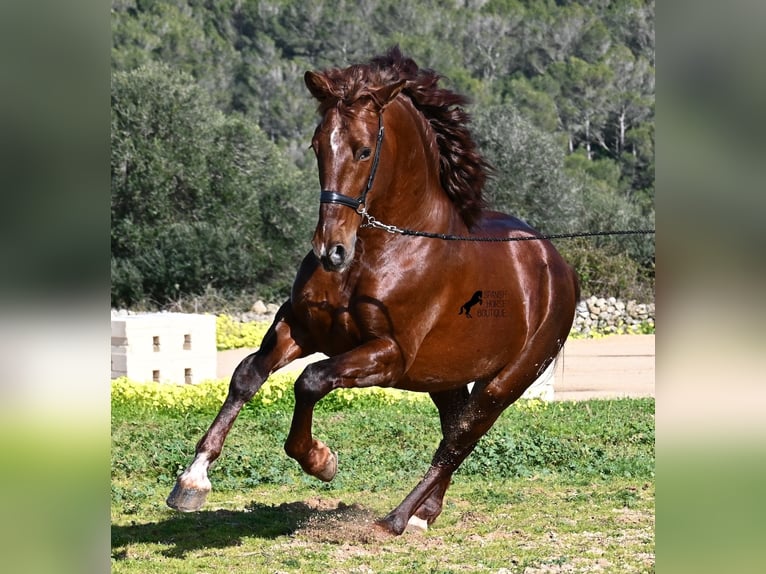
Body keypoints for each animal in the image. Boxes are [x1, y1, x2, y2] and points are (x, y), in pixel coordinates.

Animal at [166, 47, 576, 536]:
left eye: (363, 150)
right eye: (317, 146)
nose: (331, 250)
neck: (381, 251)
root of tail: (557, 265)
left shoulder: (388, 354)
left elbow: (310, 380)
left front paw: (321, 460)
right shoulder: (301, 327)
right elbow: (247, 375)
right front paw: (192, 481)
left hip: (506, 382)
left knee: (460, 438)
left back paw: (398, 518)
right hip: (444, 377)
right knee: (453, 428)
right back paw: (425, 513)